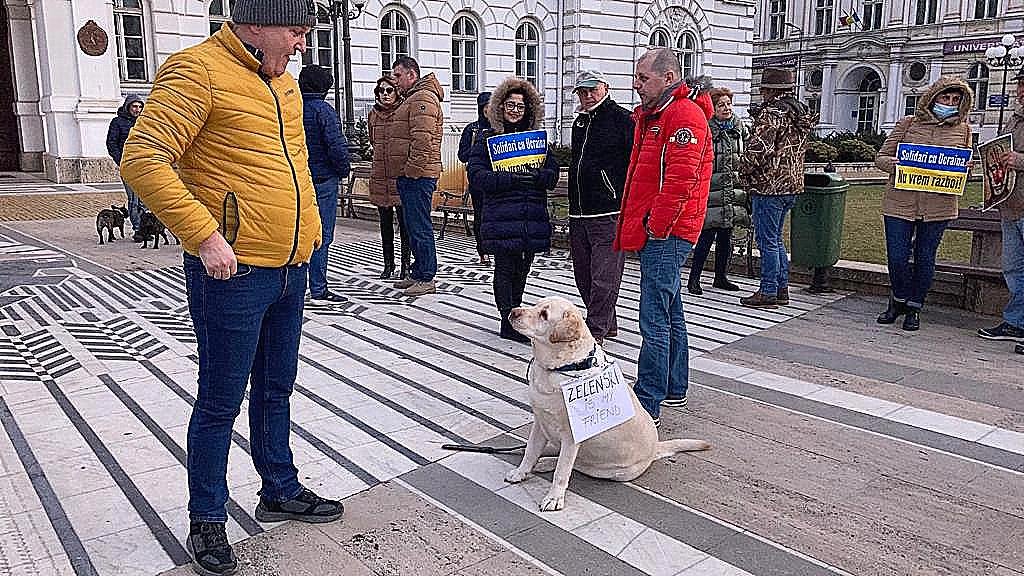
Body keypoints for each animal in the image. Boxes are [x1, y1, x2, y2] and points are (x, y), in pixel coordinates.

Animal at [505, 293, 712, 508]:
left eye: (544, 315)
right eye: (535, 305)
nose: (513, 311)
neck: (562, 367)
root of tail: (656, 448)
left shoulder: (572, 437)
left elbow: (562, 471)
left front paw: (554, 498)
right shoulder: (540, 422)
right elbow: (530, 452)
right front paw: (521, 473)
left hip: (615, 471)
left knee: (575, 465)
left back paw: (548, 464)